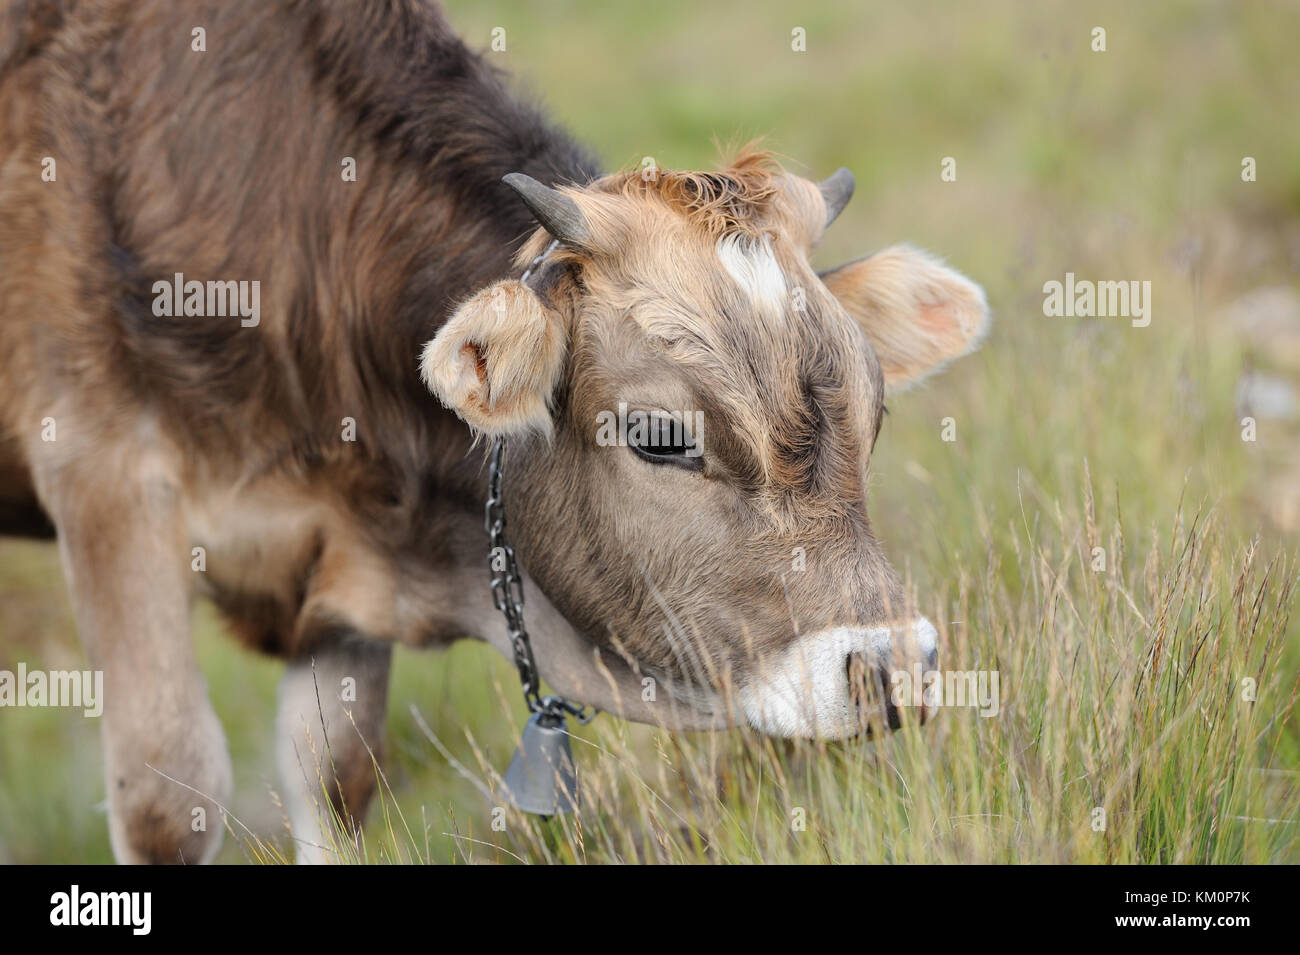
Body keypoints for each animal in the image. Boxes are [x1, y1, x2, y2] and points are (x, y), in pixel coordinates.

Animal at [0, 0, 990, 863]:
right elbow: (170, 799)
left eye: (874, 412)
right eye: (661, 435)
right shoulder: (104, 478)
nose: (894, 666)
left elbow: (335, 777)